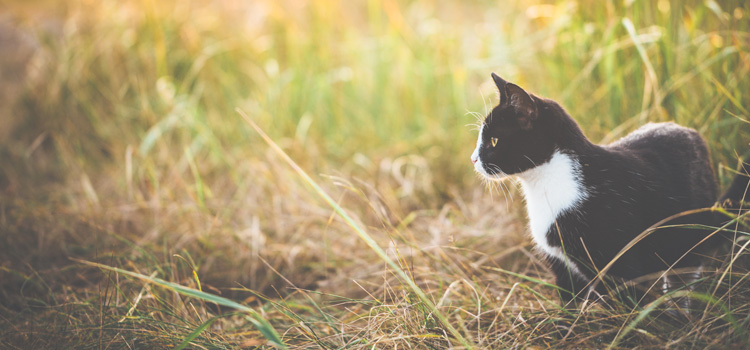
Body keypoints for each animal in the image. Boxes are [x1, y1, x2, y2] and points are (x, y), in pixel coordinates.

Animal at [472, 73, 748, 306]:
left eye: (493, 140)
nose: (473, 159)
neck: (545, 185)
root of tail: (691, 132)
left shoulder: (619, 263)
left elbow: (626, 306)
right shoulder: (562, 266)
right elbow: (569, 305)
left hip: (686, 234)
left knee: (684, 274)